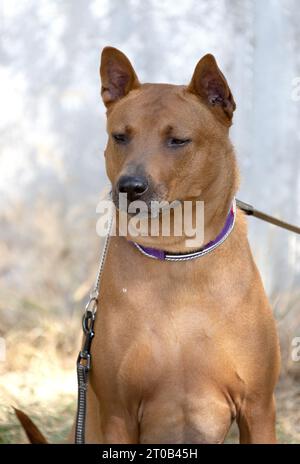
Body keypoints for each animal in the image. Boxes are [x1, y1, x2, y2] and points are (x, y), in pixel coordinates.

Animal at [16, 48, 280, 446]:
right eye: (120, 137)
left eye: (178, 141)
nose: (129, 186)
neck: (176, 254)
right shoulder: (118, 415)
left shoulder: (258, 409)